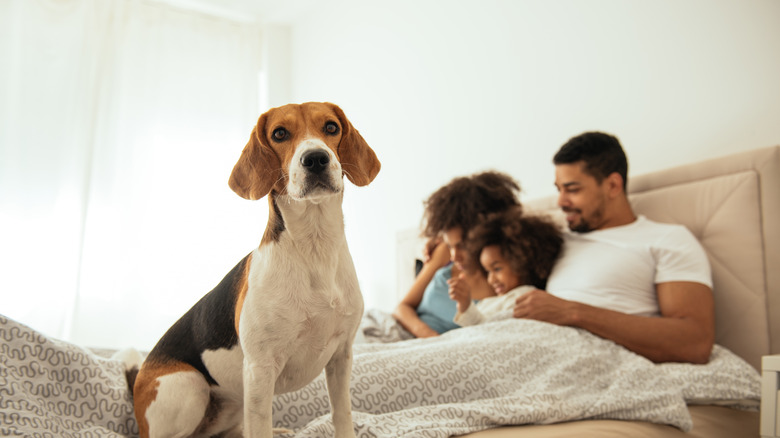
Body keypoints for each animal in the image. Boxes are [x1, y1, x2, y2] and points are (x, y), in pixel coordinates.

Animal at [132, 102, 380, 438]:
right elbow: (260, 426)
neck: (314, 247)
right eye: (279, 133)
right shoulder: (260, 370)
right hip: (190, 386)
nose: (316, 158)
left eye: (331, 127)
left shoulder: (341, 357)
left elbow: (342, 416)